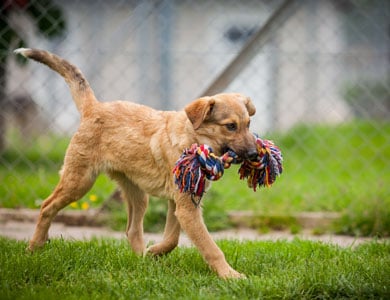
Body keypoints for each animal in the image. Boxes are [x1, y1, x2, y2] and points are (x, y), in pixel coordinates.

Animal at [15, 48, 258, 280]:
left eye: (248, 124)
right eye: (230, 126)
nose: (255, 154)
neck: (194, 139)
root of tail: (94, 107)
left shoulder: (181, 203)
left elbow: (172, 239)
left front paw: (154, 252)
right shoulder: (186, 207)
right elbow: (210, 247)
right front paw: (230, 276)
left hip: (137, 193)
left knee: (132, 229)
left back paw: (142, 261)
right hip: (79, 181)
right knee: (47, 206)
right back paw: (34, 247)